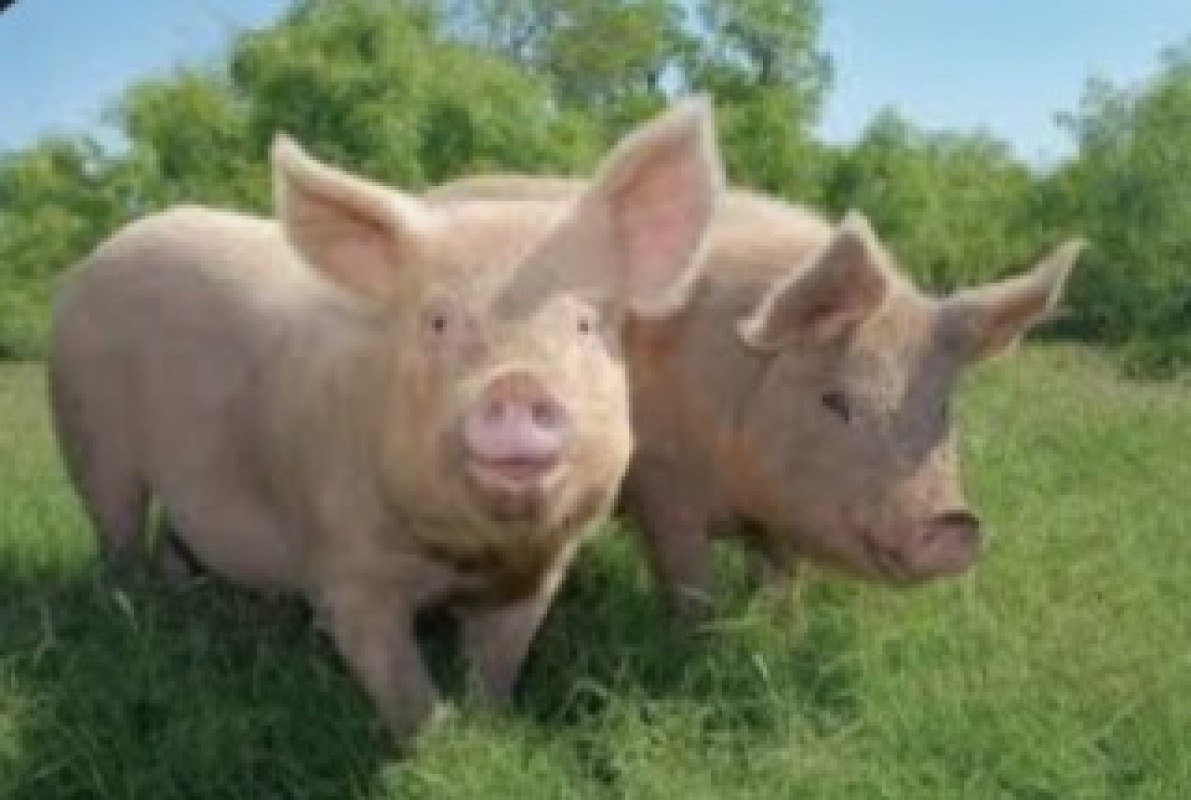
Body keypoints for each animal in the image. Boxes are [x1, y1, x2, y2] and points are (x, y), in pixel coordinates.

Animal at [47, 97, 724, 742]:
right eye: (437, 321)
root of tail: (101, 253)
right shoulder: (344, 571)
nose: (515, 383)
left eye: (585, 323)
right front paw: (436, 745)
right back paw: (136, 622)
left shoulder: (536, 577)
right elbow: (399, 684)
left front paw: (488, 728)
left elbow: (497, 666)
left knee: (175, 541)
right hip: (87, 430)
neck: (464, 558)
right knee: (117, 539)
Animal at [427, 177, 1083, 618]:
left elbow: (782, 576)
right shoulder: (659, 481)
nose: (952, 523)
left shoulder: (778, 518)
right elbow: (690, 580)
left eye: (943, 409)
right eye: (835, 401)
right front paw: (697, 646)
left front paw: (778, 629)